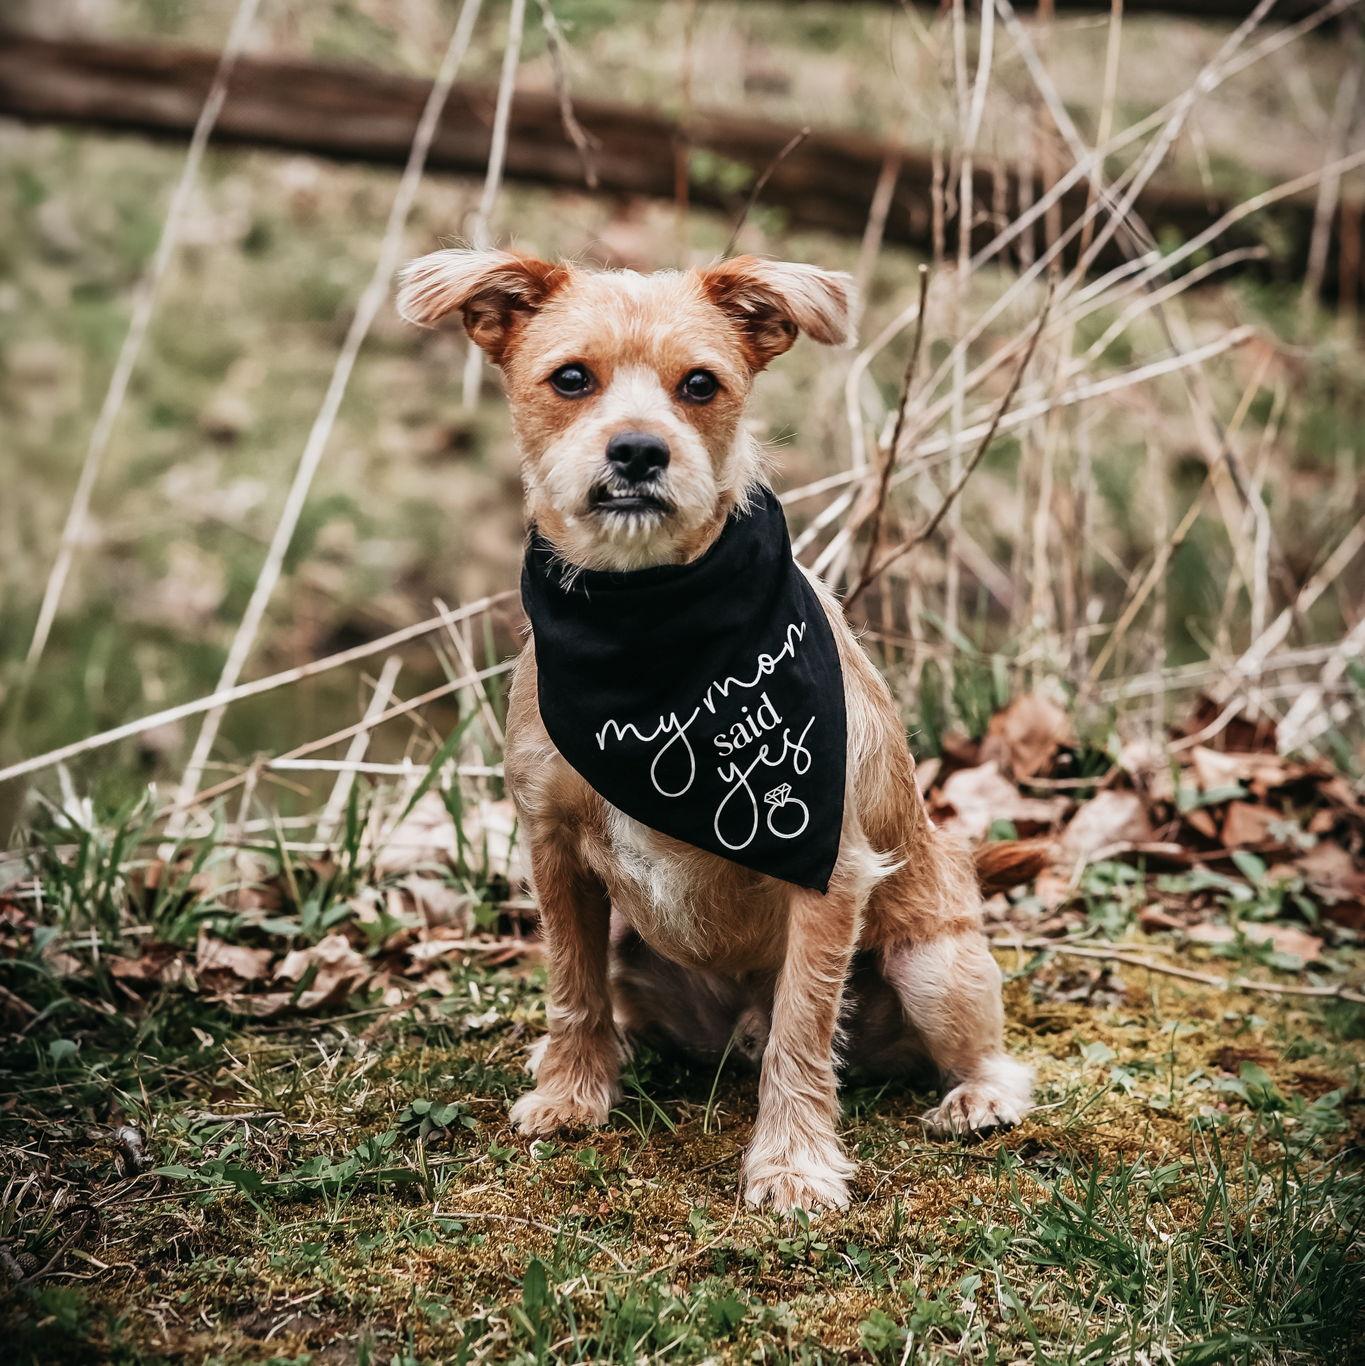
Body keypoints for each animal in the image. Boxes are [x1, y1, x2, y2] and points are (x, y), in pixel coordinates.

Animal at [398, 249, 1034, 1212]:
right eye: (571, 379)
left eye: (700, 384)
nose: (637, 450)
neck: (646, 629)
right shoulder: (551, 846)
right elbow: (569, 982)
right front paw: (570, 1093)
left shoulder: (829, 875)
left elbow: (804, 1030)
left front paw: (793, 1164)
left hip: (933, 962)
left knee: (981, 1053)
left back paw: (977, 1098)